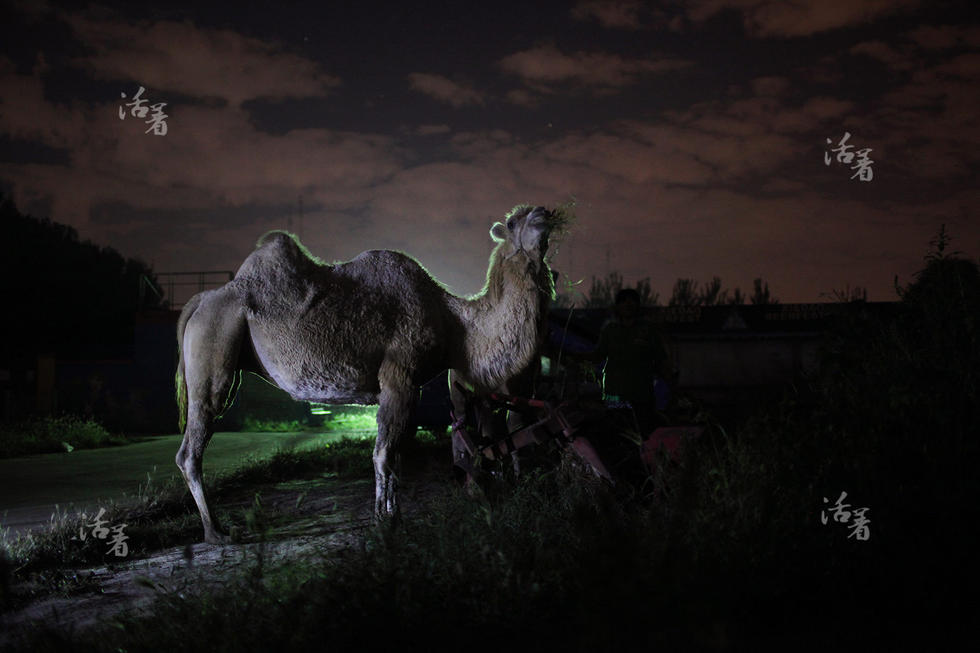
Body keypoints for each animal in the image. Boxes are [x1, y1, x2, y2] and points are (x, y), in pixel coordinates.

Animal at [175, 204, 564, 543]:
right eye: (513, 221)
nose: (544, 213)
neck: (456, 325)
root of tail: (197, 303)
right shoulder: (399, 376)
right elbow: (384, 454)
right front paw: (386, 522)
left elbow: (395, 453)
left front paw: (389, 516)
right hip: (214, 343)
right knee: (192, 446)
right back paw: (216, 533)